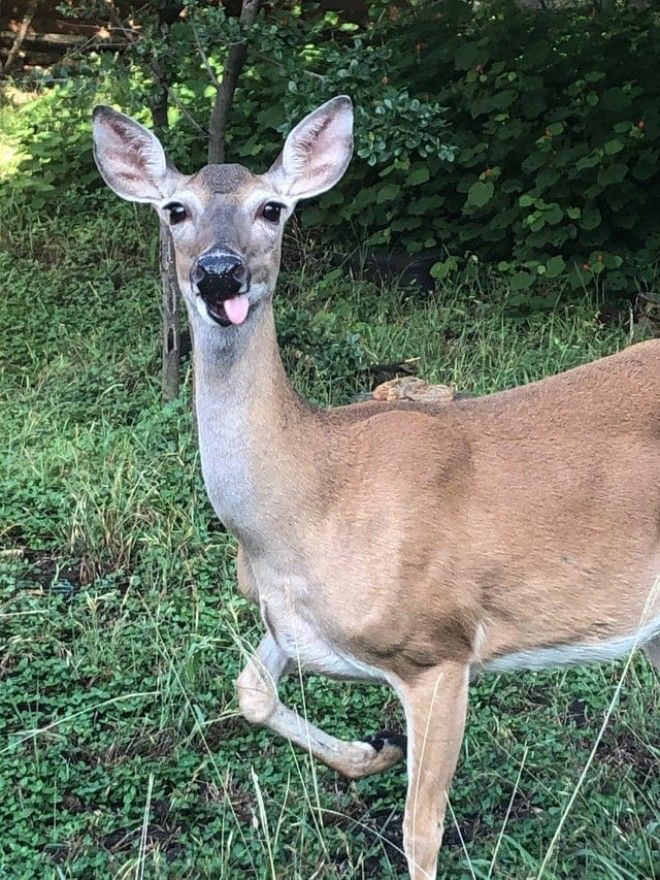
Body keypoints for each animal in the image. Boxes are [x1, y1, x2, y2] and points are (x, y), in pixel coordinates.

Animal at [93, 96, 660, 880]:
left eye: (272, 208)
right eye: (175, 209)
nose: (220, 272)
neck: (307, 505)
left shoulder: (439, 648)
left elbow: (421, 833)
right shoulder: (294, 622)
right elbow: (251, 692)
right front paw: (373, 750)